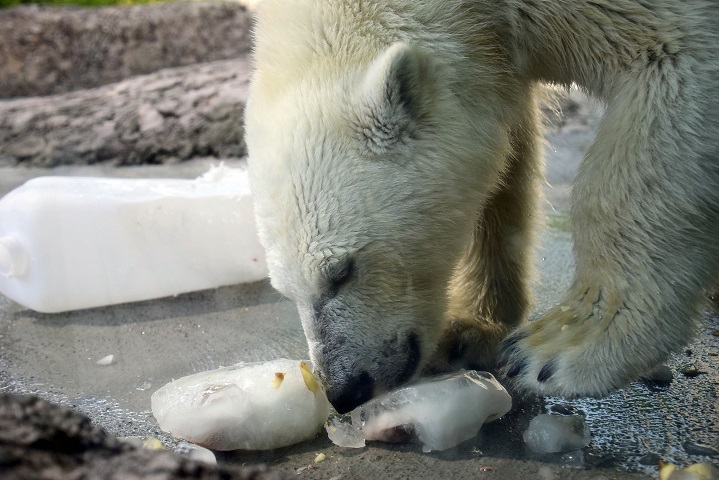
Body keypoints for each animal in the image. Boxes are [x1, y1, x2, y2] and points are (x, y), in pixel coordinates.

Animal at [243, 0, 719, 412]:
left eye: (342, 271)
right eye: (284, 290)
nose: (344, 390)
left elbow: (674, 52)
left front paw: (567, 343)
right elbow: (505, 168)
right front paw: (468, 330)